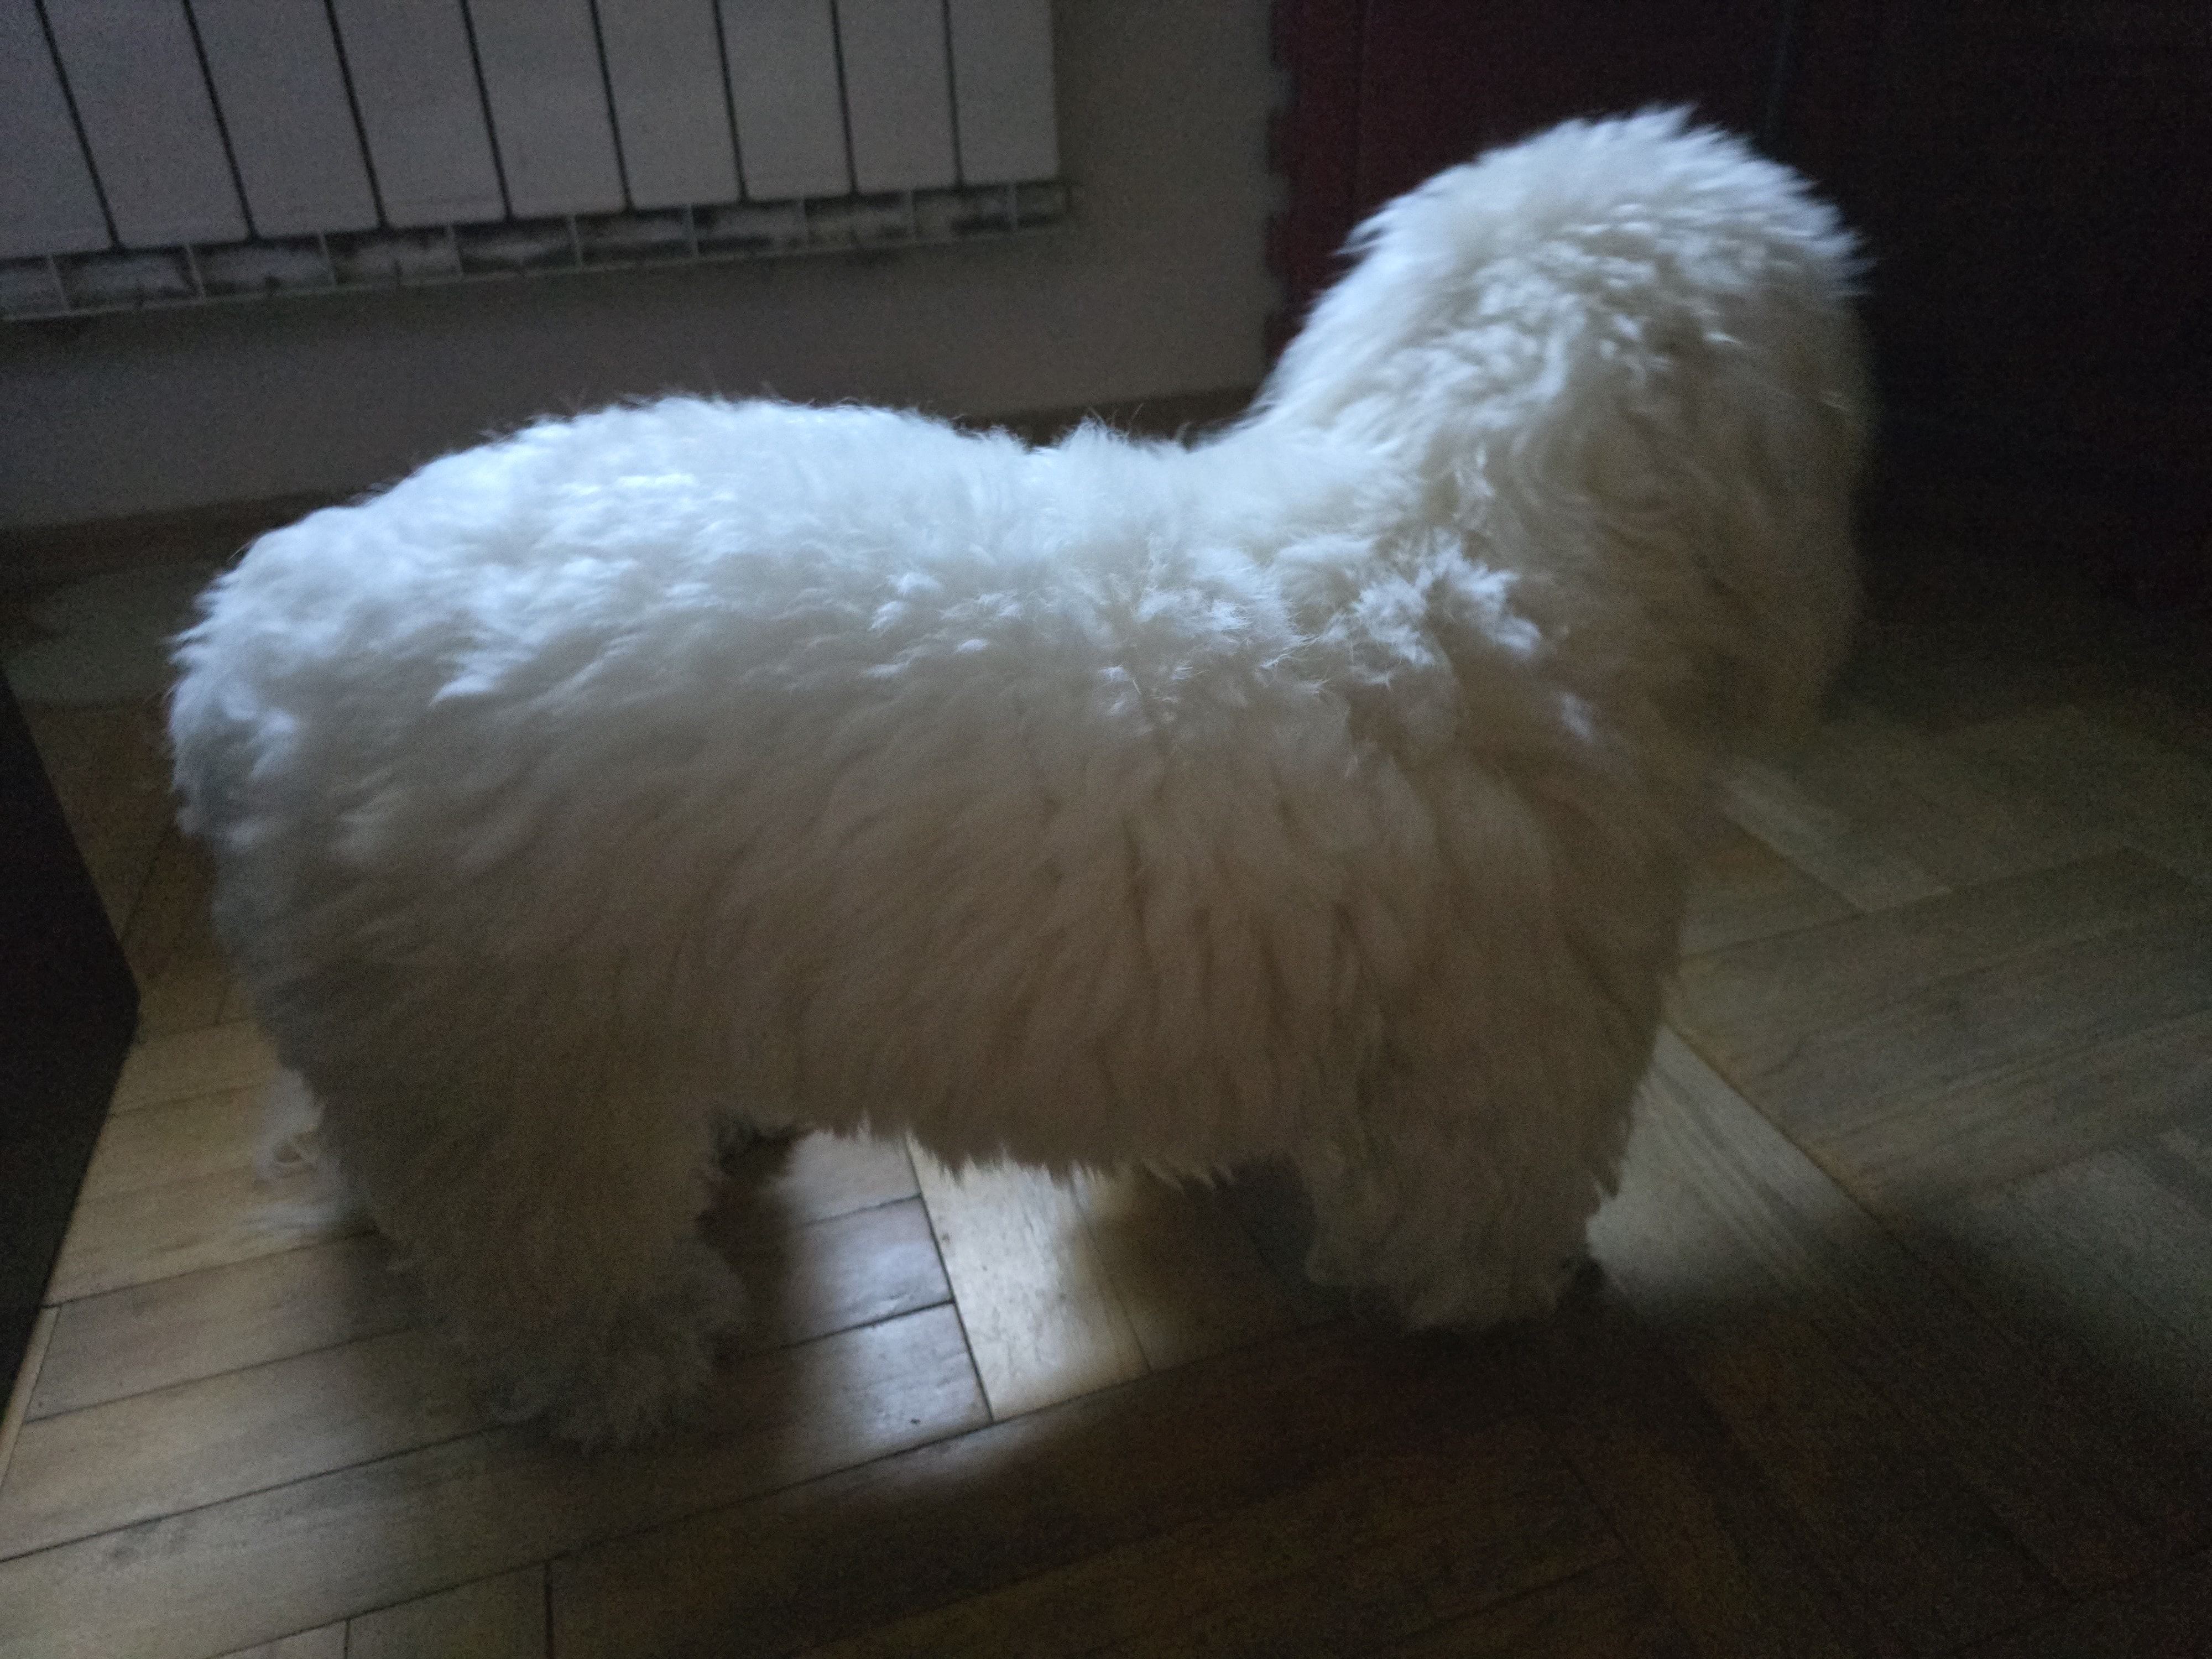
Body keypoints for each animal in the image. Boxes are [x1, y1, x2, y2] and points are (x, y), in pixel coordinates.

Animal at [169, 112, 1868, 1444]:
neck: (1451, 511)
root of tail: (237, 649)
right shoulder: (1503, 1042)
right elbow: (1476, 1205)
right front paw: (1503, 1301)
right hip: (511, 1069)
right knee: (537, 1248)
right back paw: (623, 1359)